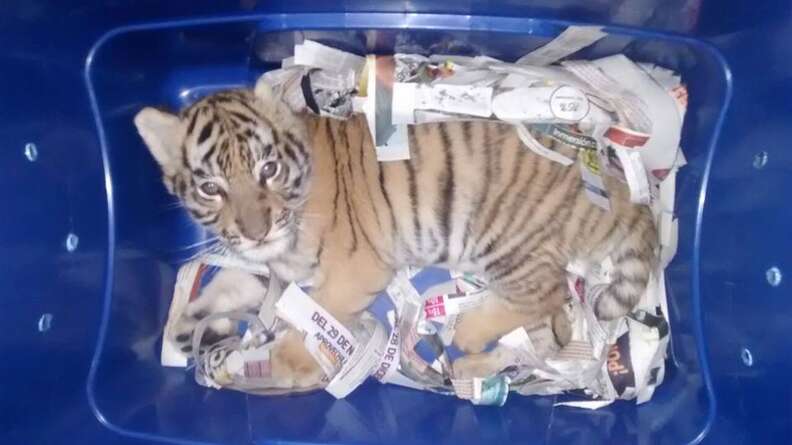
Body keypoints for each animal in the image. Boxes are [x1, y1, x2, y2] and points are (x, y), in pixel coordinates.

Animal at [134, 76, 658, 389]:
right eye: (210, 188)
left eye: (268, 169)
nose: (256, 231)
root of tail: (618, 187)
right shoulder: (275, 269)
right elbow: (224, 288)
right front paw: (187, 329)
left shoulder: (354, 268)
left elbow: (318, 317)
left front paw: (283, 363)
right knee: (551, 333)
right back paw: (473, 367)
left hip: (507, 240)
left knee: (546, 295)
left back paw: (469, 333)